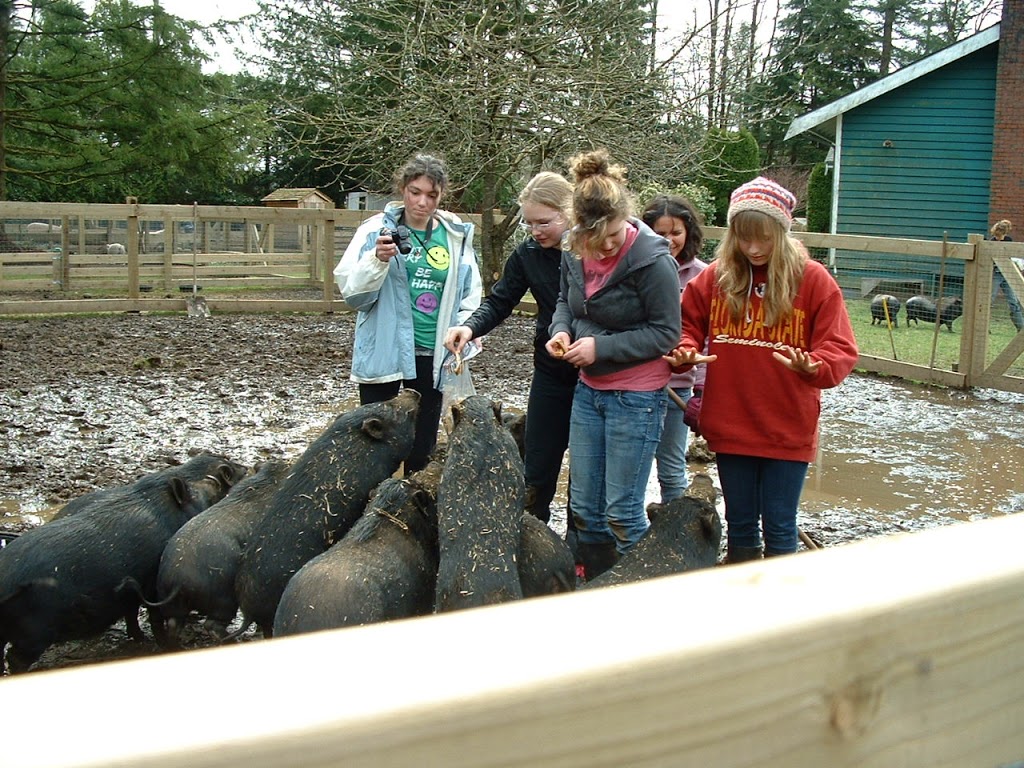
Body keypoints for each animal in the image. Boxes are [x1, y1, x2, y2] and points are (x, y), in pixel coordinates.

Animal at [0, 454, 245, 675]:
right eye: (209, 491)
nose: (243, 468)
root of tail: (6, 580)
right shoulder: (153, 584)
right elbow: (154, 617)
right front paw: (158, 644)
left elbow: (131, 613)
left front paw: (139, 639)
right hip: (34, 631)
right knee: (15, 658)